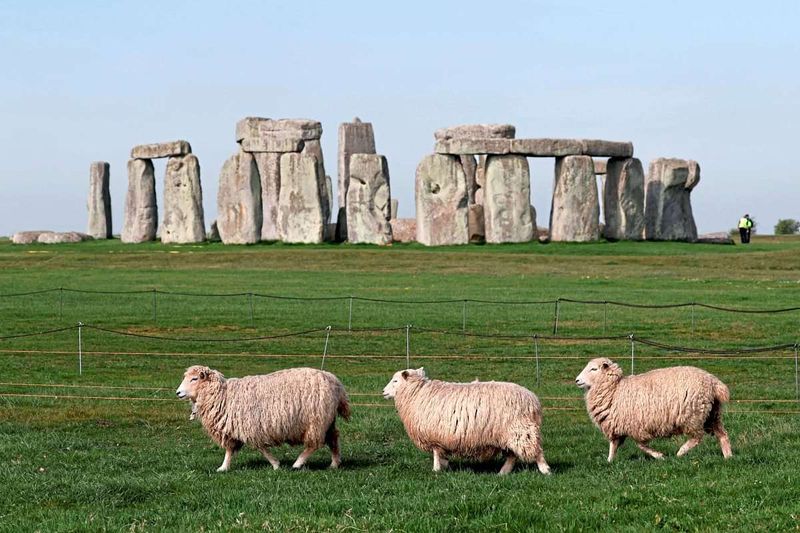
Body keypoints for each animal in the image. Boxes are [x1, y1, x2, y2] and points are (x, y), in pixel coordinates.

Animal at [175, 366, 350, 470]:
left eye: (194, 379)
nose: (178, 393)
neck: (223, 395)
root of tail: (335, 382)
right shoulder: (233, 428)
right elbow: (229, 450)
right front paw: (223, 467)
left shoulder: (251, 427)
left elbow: (261, 448)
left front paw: (275, 464)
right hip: (327, 420)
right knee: (333, 438)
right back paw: (334, 464)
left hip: (316, 421)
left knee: (314, 444)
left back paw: (298, 463)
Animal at [382, 366, 552, 474]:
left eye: (395, 381)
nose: (383, 391)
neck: (417, 393)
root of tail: (533, 400)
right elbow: (441, 454)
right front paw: (444, 465)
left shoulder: (434, 435)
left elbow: (436, 453)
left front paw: (436, 470)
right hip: (508, 433)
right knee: (512, 455)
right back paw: (503, 472)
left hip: (521, 429)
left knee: (535, 450)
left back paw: (545, 470)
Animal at [576, 358, 732, 462]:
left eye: (593, 369)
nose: (577, 380)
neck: (615, 389)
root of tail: (713, 382)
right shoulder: (617, 426)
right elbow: (613, 445)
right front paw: (609, 461)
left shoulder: (636, 426)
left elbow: (641, 445)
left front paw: (659, 456)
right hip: (712, 414)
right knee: (722, 434)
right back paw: (728, 457)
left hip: (692, 415)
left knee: (697, 437)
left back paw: (681, 452)